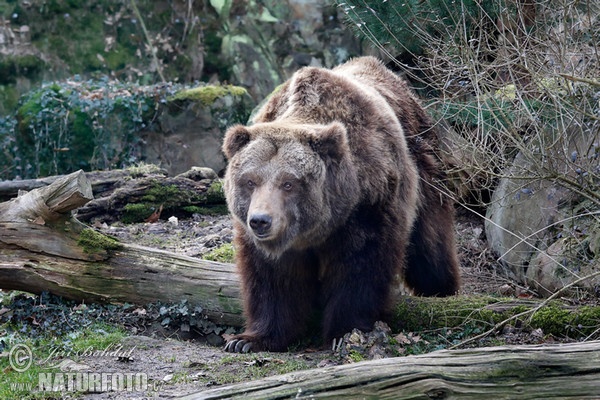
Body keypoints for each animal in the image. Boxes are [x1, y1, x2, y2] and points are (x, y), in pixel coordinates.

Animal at [220, 57, 460, 354]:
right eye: (250, 181)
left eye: (289, 183)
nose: (261, 220)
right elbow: (272, 279)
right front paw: (247, 340)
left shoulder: (369, 204)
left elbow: (360, 268)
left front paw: (345, 332)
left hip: (423, 161)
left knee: (430, 241)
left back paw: (442, 289)